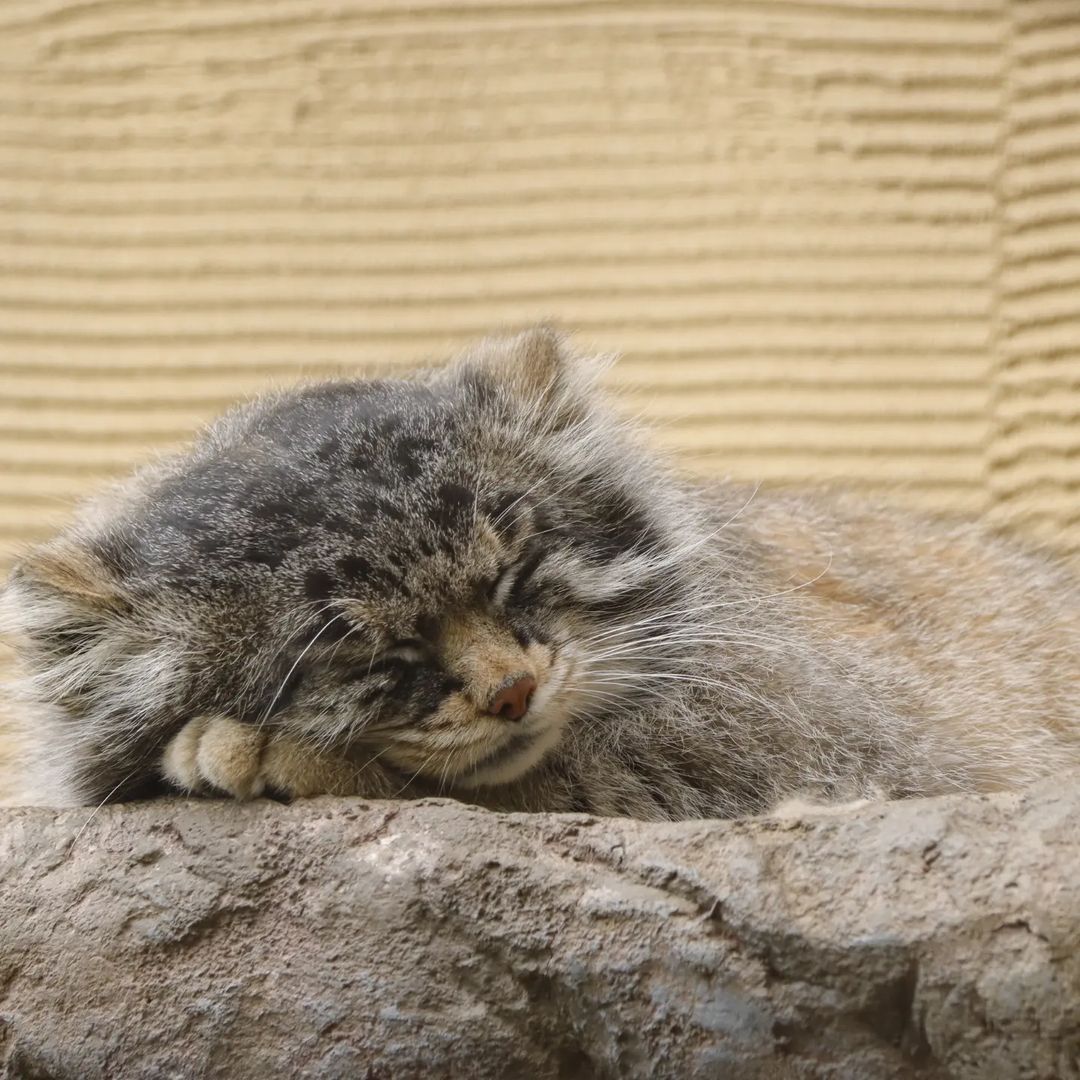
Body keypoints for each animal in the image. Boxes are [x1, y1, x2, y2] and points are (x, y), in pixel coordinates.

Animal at [2, 324, 1080, 812]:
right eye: (367, 654)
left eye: (516, 577)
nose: (515, 691)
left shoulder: (839, 744)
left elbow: (508, 780)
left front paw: (278, 756)